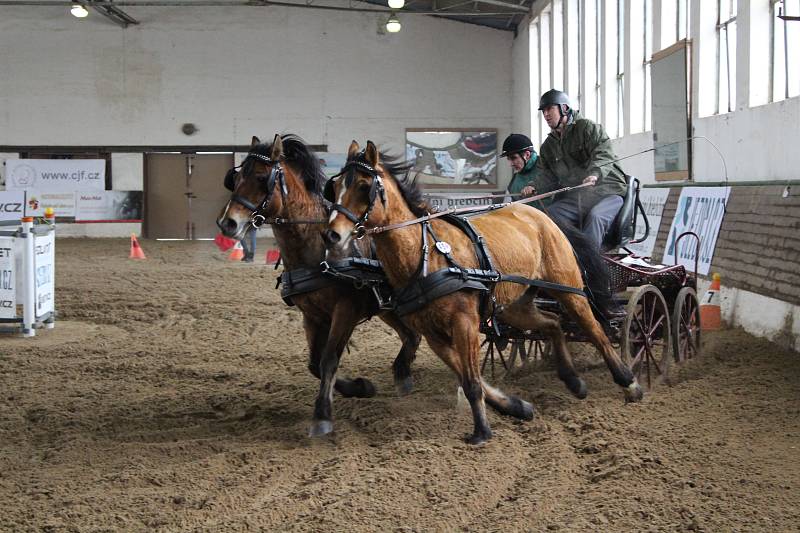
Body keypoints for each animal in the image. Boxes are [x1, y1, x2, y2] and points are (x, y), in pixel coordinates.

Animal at [216, 134, 422, 436]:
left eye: (262, 177)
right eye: (237, 177)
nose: (227, 223)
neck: (315, 247)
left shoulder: (346, 310)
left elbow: (329, 359)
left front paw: (323, 415)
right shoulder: (312, 315)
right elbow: (314, 364)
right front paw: (360, 387)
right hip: (388, 307)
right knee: (412, 335)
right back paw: (403, 376)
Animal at [322, 139, 640, 442]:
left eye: (364, 186)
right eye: (334, 187)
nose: (332, 235)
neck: (426, 254)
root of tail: (542, 216)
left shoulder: (464, 323)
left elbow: (473, 381)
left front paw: (482, 432)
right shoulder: (432, 333)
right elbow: (466, 377)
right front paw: (516, 407)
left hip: (569, 288)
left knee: (595, 331)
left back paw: (629, 383)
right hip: (514, 306)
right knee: (552, 325)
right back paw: (574, 381)